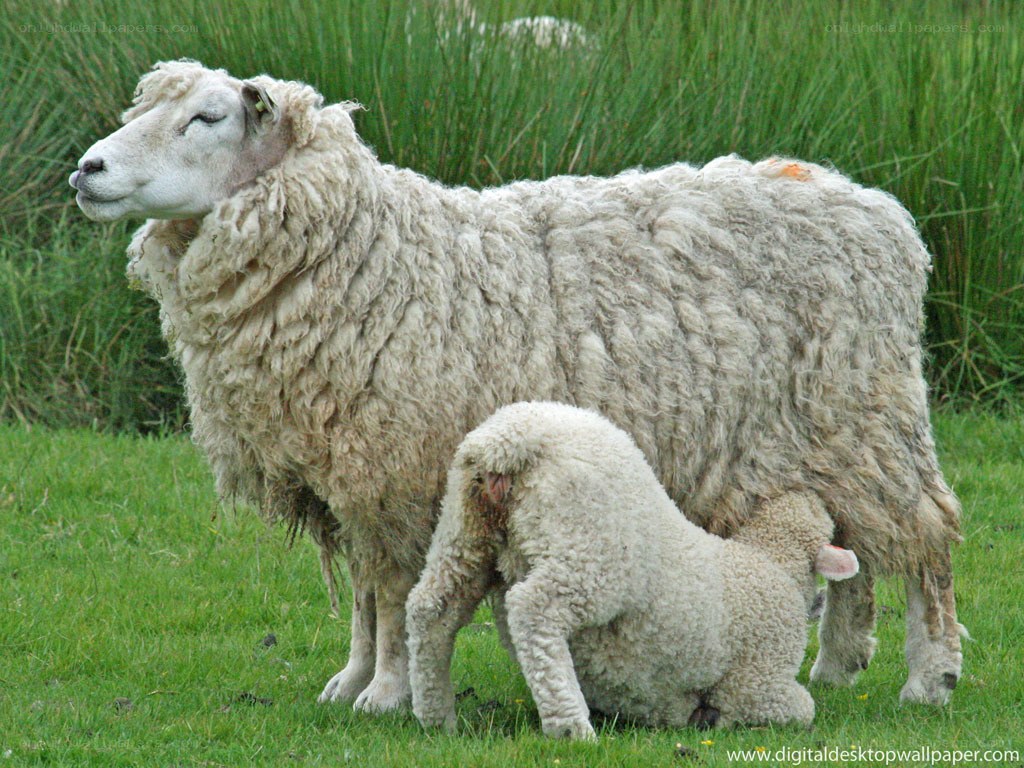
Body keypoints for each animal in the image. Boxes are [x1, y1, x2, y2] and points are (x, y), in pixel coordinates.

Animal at [407, 401, 861, 738]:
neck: (765, 561)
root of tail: (510, 441)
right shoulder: (759, 681)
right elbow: (801, 708)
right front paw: (715, 718)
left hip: (464, 530)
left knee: (431, 610)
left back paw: (436, 717)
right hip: (590, 555)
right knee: (534, 610)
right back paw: (570, 726)